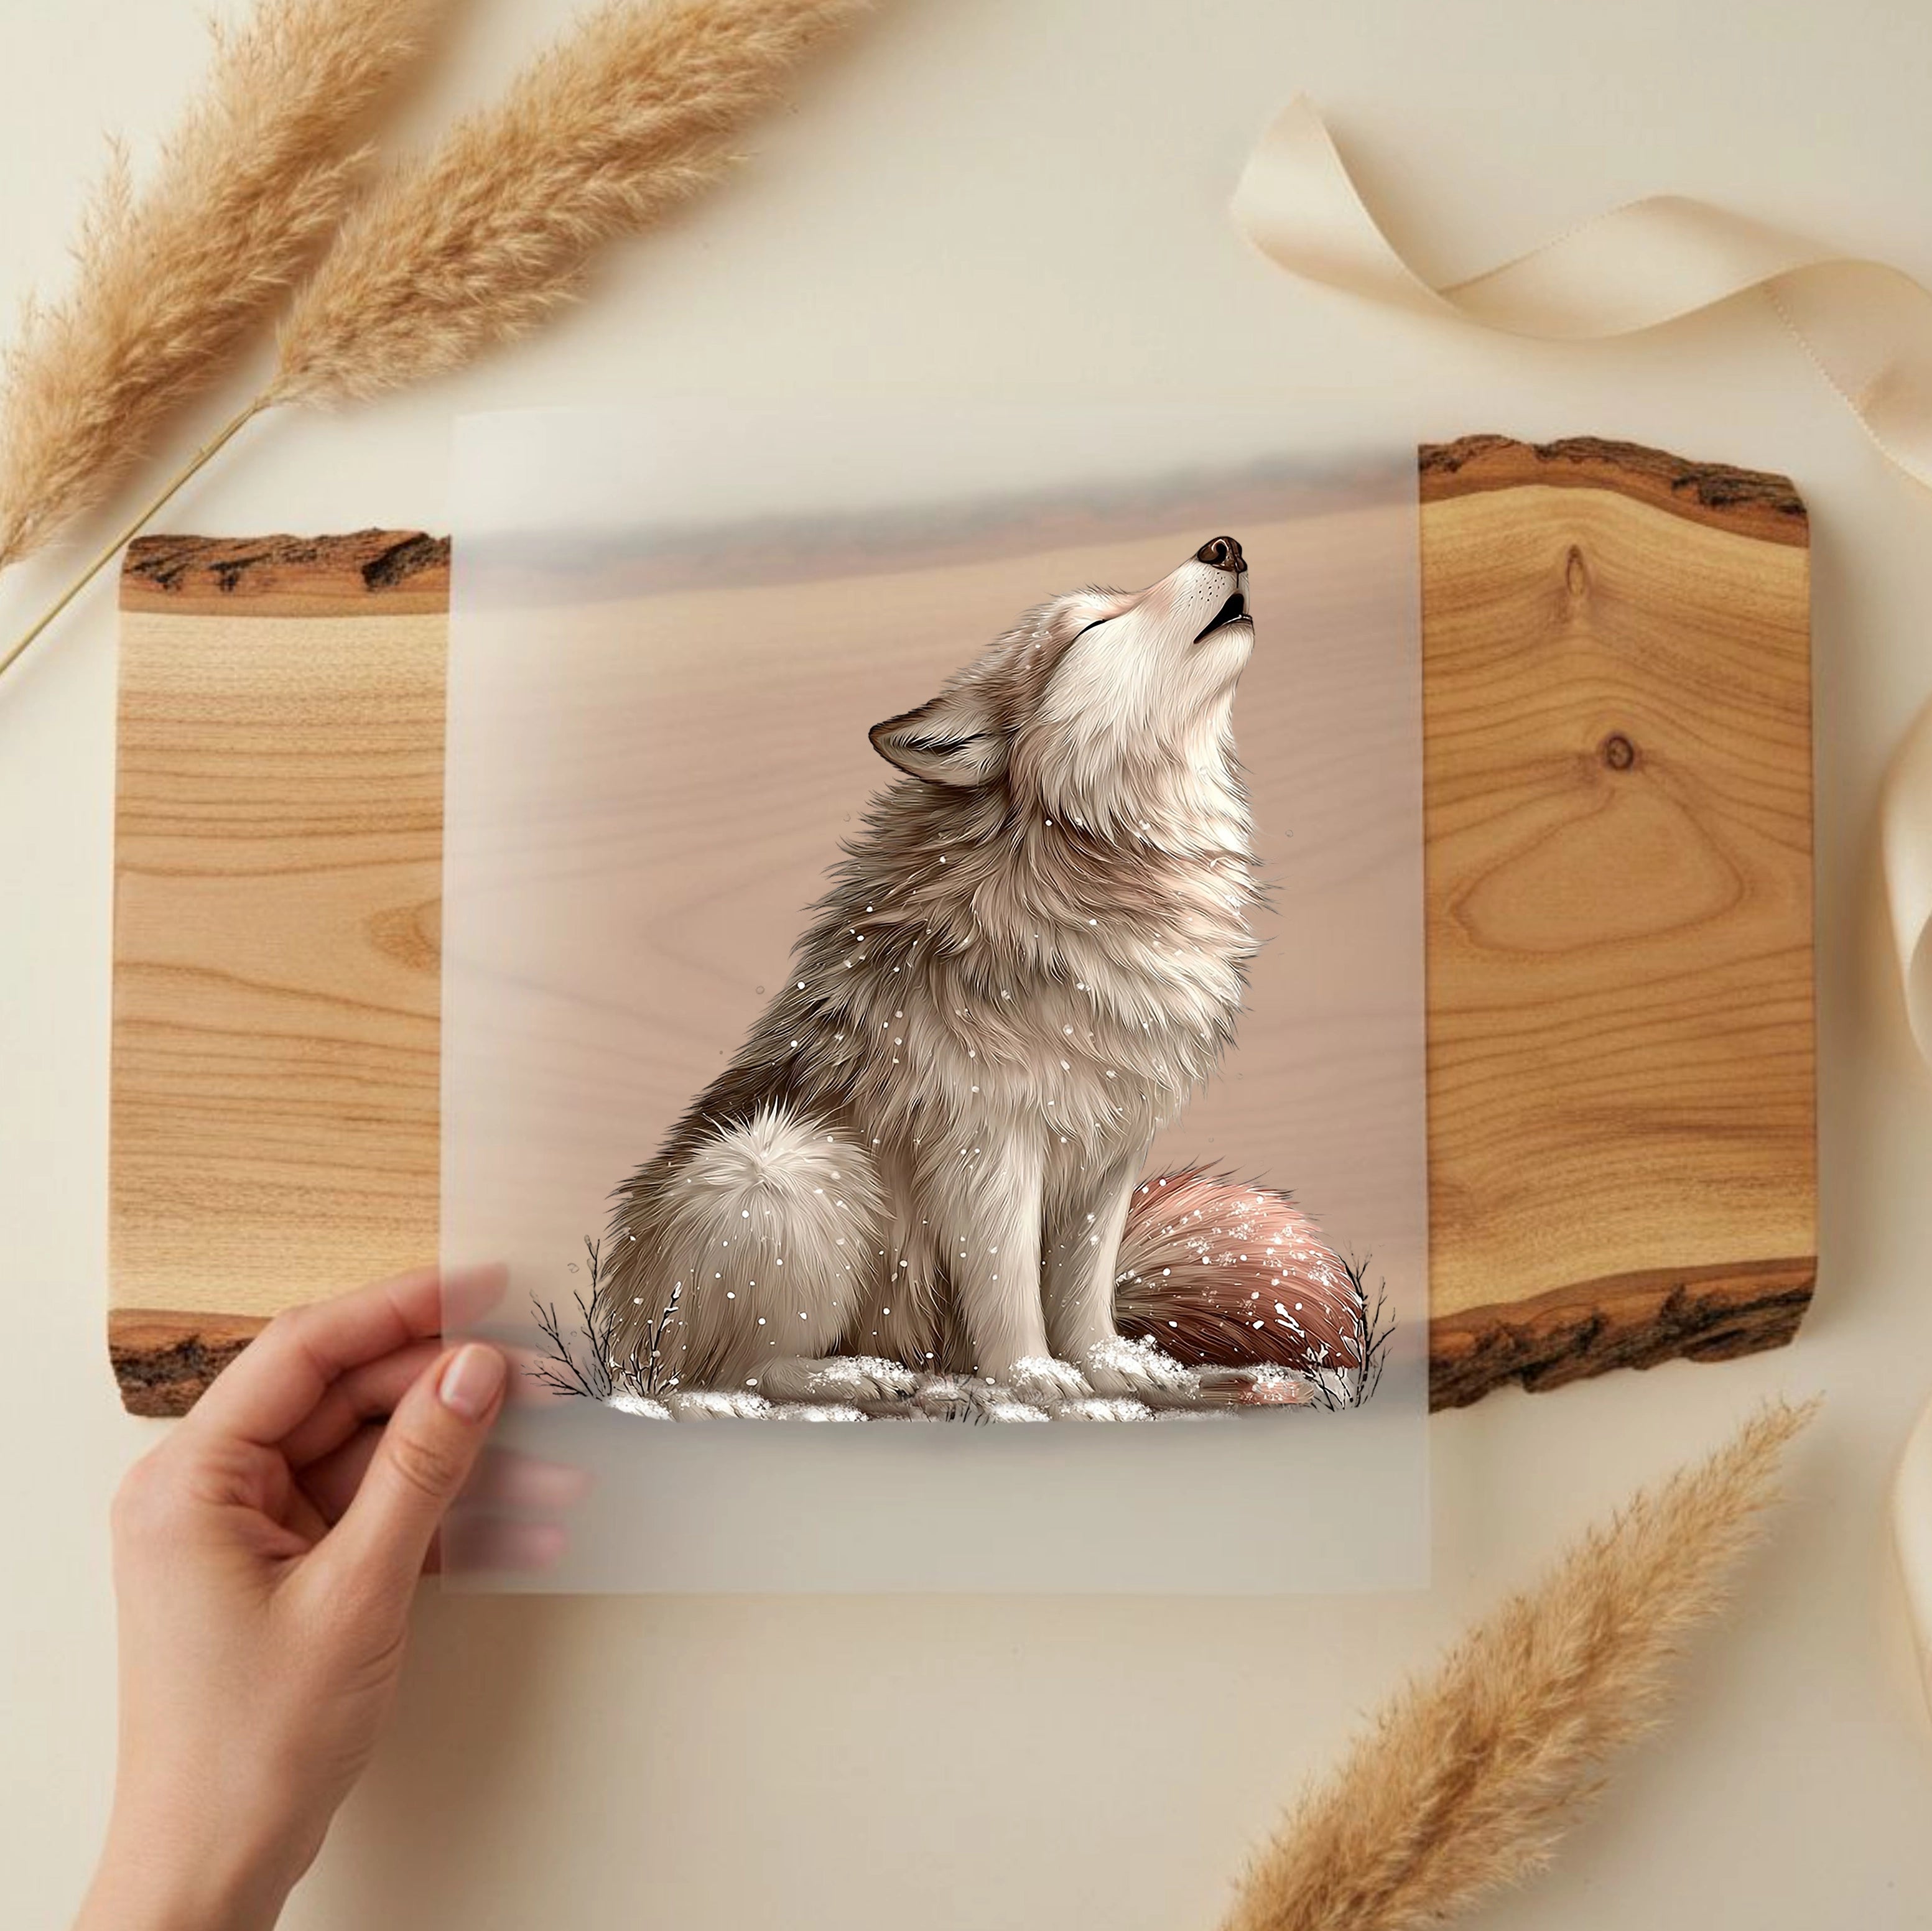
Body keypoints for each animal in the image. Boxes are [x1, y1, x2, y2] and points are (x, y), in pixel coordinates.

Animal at [603, 536, 1369, 1413]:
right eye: (1092, 628)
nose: (1225, 545)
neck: (1091, 852)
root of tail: (625, 1333)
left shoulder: (1112, 1152)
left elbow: (1081, 1285)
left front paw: (1110, 1365)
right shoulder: (987, 1148)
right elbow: (1007, 1290)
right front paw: (1036, 1378)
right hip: (786, 1166)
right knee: (730, 1374)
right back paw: (857, 1375)